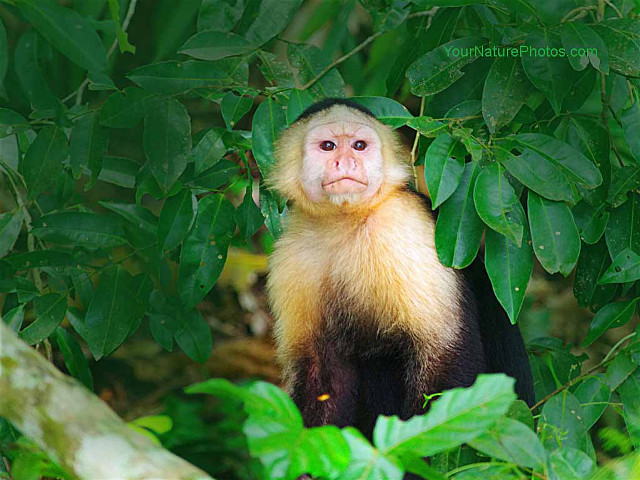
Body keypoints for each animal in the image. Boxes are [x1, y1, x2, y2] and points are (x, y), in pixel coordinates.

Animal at [265, 98, 535, 440]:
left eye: (359, 145)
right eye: (328, 146)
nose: (346, 162)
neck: (344, 222)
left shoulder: (403, 224)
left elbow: (445, 361)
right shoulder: (290, 257)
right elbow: (321, 376)